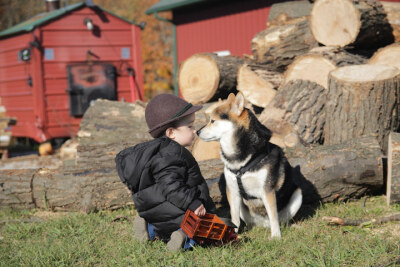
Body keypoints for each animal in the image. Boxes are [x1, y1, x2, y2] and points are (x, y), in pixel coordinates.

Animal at [197, 93, 304, 240]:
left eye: (212, 121)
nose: (197, 132)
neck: (241, 163)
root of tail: (263, 225)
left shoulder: (267, 190)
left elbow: (273, 216)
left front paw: (276, 237)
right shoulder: (232, 191)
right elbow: (234, 218)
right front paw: (233, 234)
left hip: (298, 194)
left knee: (281, 219)